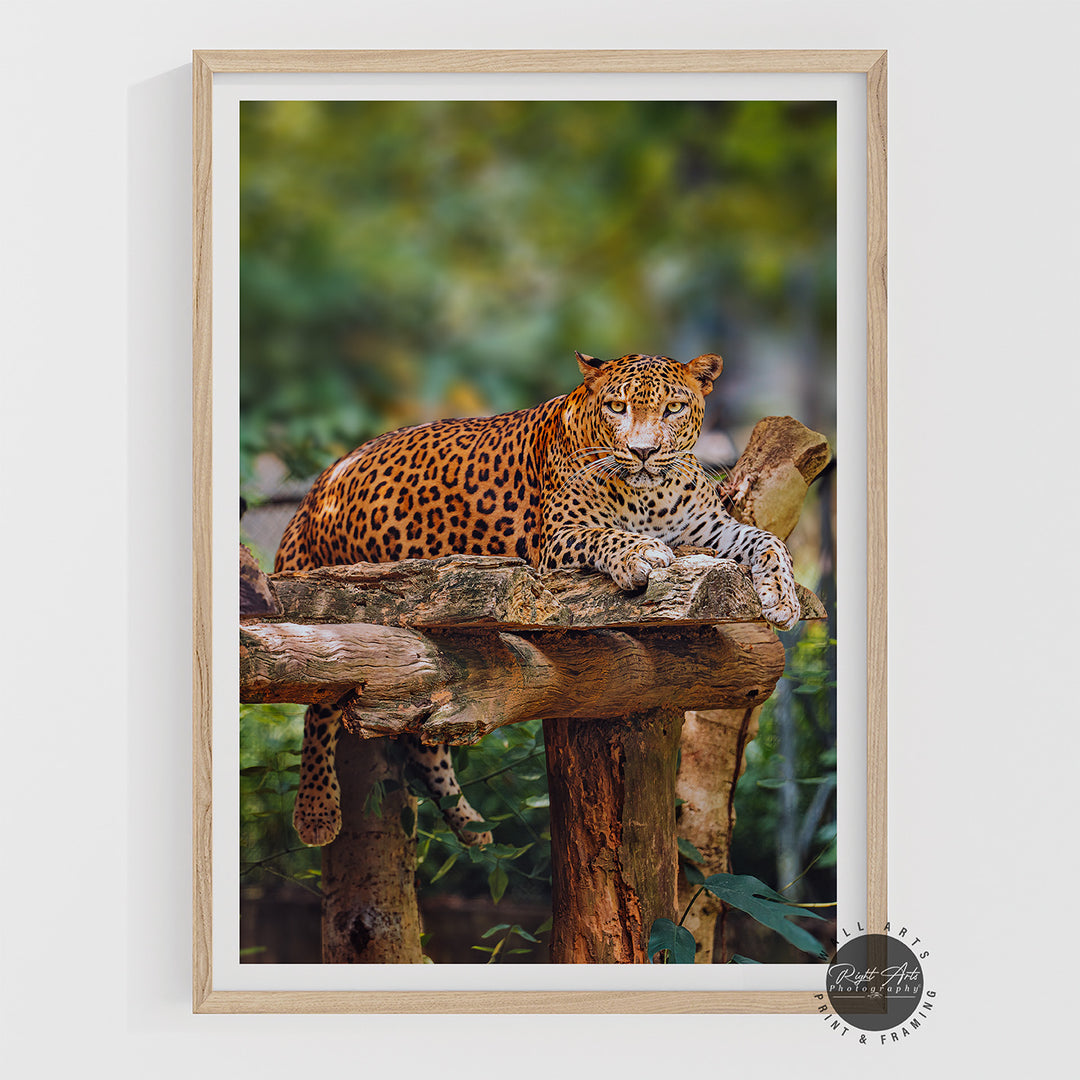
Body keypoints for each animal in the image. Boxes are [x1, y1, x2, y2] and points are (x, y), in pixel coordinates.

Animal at [274, 351, 800, 848]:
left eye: (673, 408)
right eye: (617, 407)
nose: (643, 452)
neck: (651, 495)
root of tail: (317, 488)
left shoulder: (710, 527)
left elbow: (767, 539)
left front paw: (784, 598)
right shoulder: (558, 538)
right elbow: (607, 535)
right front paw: (640, 553)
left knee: (422, 734)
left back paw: (470, 826)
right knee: (321, 702)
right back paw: (316, 811)